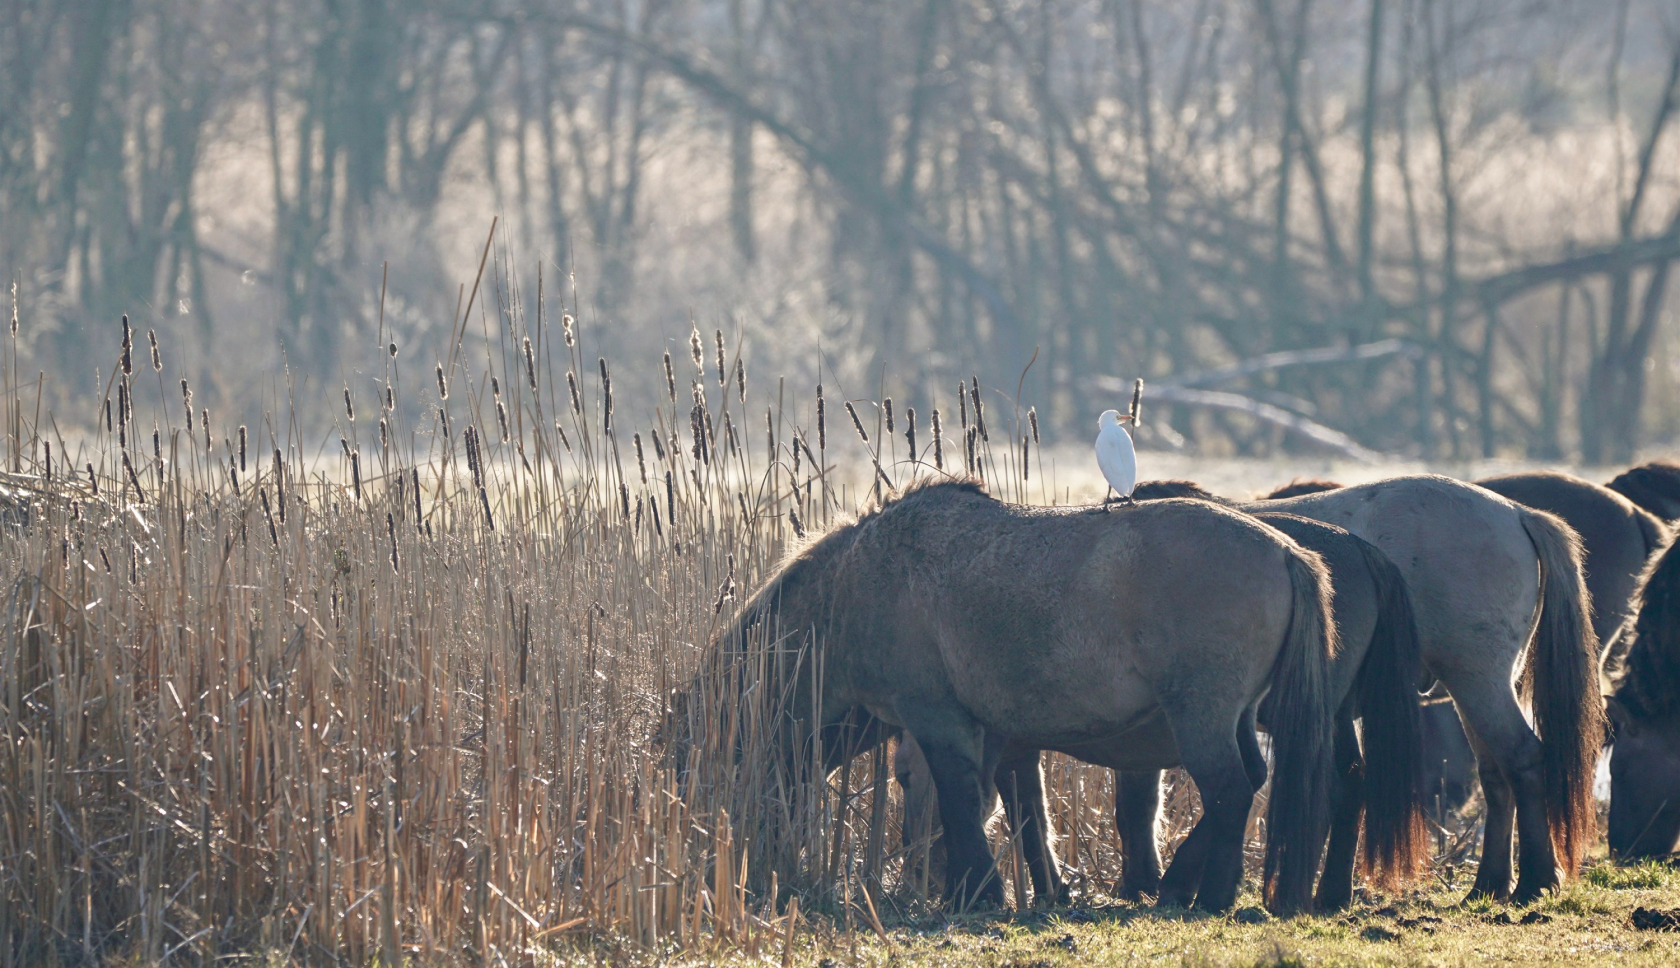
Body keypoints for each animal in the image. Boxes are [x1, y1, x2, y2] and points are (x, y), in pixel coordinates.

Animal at [668, 480, 1337, 914]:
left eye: (706, 769)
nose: (722, 869)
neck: (852, 589)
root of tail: (1284, 548)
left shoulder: (938, 719)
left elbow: (961, 803)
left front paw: (979, 895)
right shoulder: (991, 735)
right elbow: (1001, 812)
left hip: (1201, 718)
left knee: (1230, 791)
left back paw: (1202, 897)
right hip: (1234, 719)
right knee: (1245, 785)